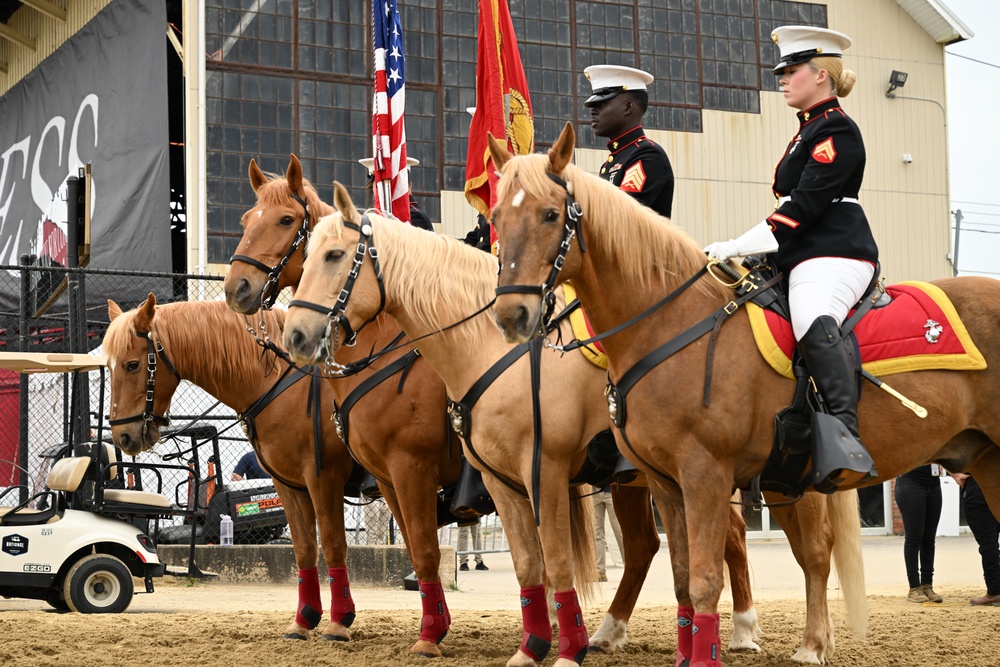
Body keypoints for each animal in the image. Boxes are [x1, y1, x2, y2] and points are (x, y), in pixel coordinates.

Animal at [104, 296, 360, 640]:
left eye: (132, 365)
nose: (123, 436)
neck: (282, 383)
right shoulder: (289, 485)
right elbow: (305, 548)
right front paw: (303, 619)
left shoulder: (324, 479)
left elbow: (333, 545)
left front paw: (339, 621)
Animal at [223, 158, 460, 656]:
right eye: (246, 220)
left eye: (286, 220)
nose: (237, 288)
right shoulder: (381, 477)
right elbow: (408, 547)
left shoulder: (382, 471)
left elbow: (397, 546)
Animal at [278, 185, 856, 667]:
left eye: (331, 254)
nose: (296, 335)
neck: (486, 348)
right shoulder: (471, 478)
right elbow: (519, 563)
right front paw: (533, 642)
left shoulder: (520, 470)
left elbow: (533, 558)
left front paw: (551, 645)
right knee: (655, 548)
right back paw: (620, 631)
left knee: (799, 549)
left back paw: (771, 637)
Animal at [484, 122, 1000, 664]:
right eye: (497, 217)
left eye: (550, 214)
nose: (512, 316)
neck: (667, 321)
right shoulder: (665, 483)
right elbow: (684, 580)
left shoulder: (704, 475)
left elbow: (706, 581)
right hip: (975, 461)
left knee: (813, 554)